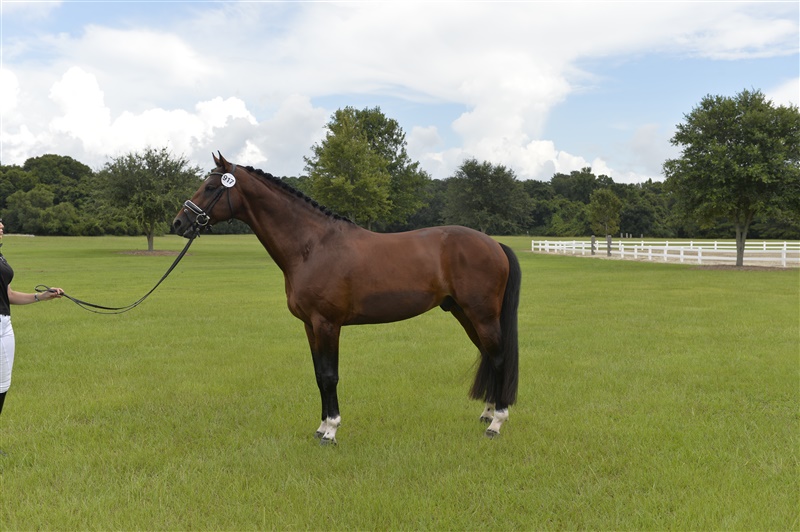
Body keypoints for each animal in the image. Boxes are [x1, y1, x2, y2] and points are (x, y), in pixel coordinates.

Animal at [172, 153, 521, 444]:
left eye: (209, 187)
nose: (178, 222)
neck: (312, 245)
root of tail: (494, 244)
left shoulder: (327, 324)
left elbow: (330, 376)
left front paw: (331, 430)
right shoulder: (310, 326)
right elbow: (318, 376)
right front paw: (320, 426)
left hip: (482, 315)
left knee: (499, 358)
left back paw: (496, 423)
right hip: (463, 313)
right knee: (488, 355)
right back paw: (487, 412)